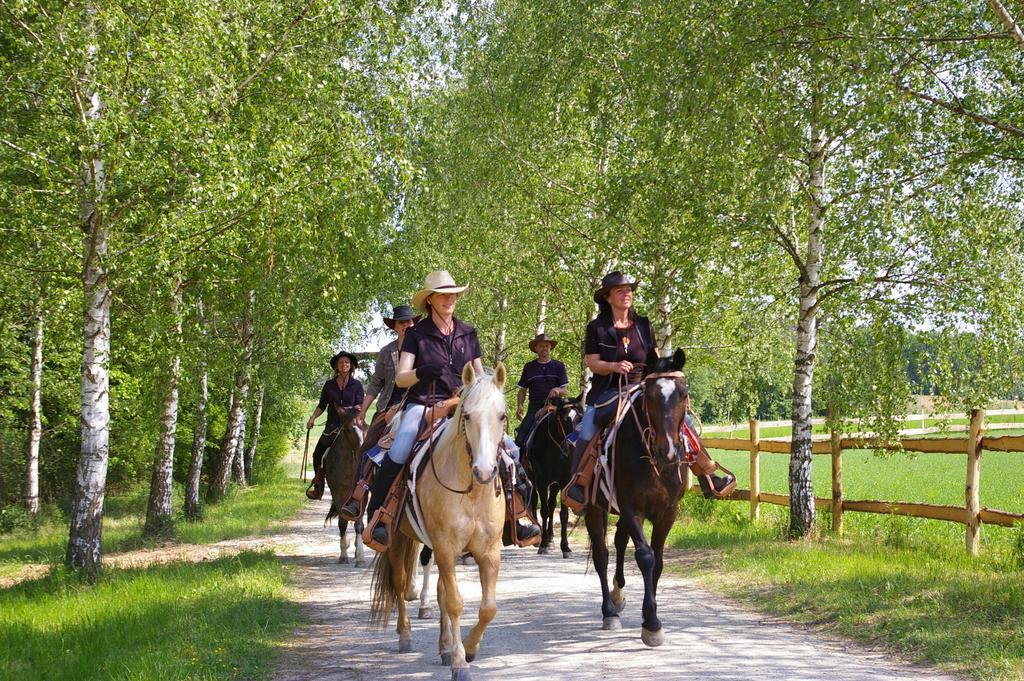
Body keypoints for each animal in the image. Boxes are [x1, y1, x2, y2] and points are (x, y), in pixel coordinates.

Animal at [323, 411, 368, 565]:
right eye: (348, 429)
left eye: (366, 427)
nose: (363, 449)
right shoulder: (338, 494)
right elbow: (342, 523)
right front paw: (343, 555)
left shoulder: (363, 495)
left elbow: (359, 524)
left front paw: (360, 556)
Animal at [372, 360, 507, 679]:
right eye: (467, 416)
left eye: (502, 416)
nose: (485, 471)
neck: (471, 491)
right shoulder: (445, 547)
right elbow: (456, 603)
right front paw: (460, 662)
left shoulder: (489, 551)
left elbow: (487, 608)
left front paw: (467, 648)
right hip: (398, 538)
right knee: (399, 583)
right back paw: (405, 635)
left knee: (440, 591)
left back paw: (444, 646)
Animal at [524, 395, 581, 557]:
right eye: (564, 418)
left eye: (581, 417)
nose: (575, 444)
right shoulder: (541, 481)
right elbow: (543, 510)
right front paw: (543, 544)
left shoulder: (564, 480)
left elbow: (563, 514)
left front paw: (565, 547)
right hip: (533, 478)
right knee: (536, 502)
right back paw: (541, 537)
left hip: (554, 484)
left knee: (551, 505)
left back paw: (550, 538)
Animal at [585, 348, 688, 647]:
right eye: (649, 396)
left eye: (683, 394)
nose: (667, 450)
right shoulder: (632, 509)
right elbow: (645, 556)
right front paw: (652, 623)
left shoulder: (668, 512)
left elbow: (659, 562)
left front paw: (647, 616)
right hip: (593, 509)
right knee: (601, 554)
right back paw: (609, 611)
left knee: (619, 542)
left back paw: (618, 595)